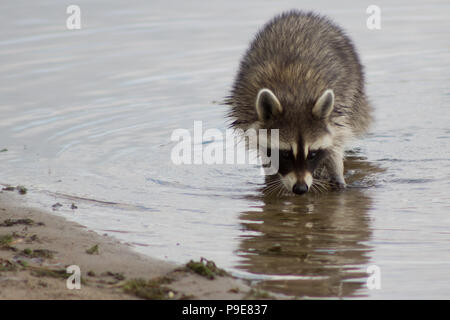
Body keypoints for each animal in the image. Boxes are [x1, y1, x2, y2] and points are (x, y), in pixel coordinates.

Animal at [227, 10, 370, 195]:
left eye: (312, 154)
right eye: (286, 154)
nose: (301, 189)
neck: (295, 99)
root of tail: (301, 14)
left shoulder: (338, 112)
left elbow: (335, 144)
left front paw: (336, 173)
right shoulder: (249, 115)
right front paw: (272, 178)